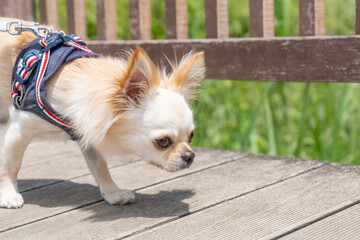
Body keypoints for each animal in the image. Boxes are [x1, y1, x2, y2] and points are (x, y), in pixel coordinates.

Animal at [0, 18, 204, 208]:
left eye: (191, 136)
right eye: (163, 142)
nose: (190, 156)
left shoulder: (86, 133)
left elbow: (100, 167)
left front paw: (113, 193)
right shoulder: (20, 128)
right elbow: (11, 164)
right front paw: (8, 193)